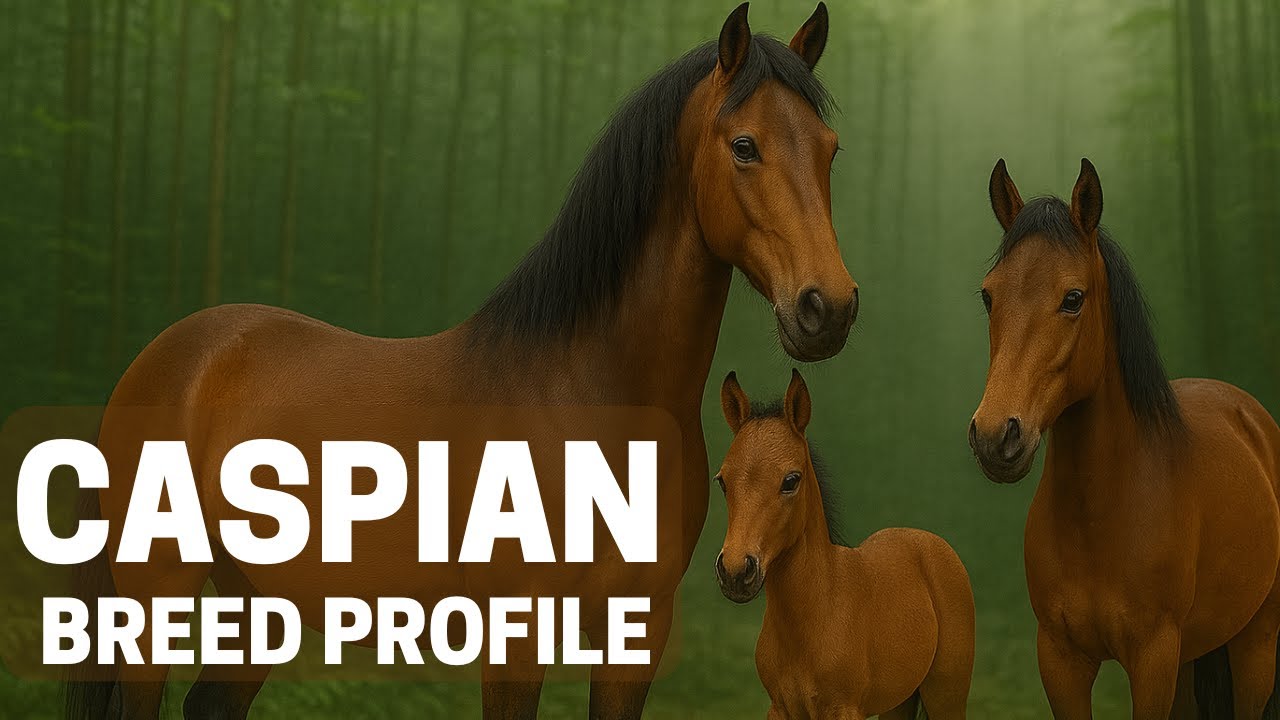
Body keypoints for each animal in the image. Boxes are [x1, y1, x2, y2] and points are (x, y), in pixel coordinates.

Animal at [68, 4, 858, 719]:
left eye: (829, 149)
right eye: (745, 146)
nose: (829, 308)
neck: (586, 393)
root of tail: (164, 357)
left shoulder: (637, 635)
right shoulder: (516, 637)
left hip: (257, 604)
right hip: (156, 598)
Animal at [714, 369, 974, 719]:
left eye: (791, 480)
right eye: (722, 481)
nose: (735, 570)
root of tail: (927, 540)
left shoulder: (844, 709)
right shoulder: (780, 708)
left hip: (946, 693)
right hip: (900, 699)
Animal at [969, 158, 1280, 719]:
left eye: (1073, 298)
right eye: (988, 295)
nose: (993, 435)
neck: (1100, 515)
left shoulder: (1153, 659)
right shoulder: (1061, 661)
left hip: (1255, 646)